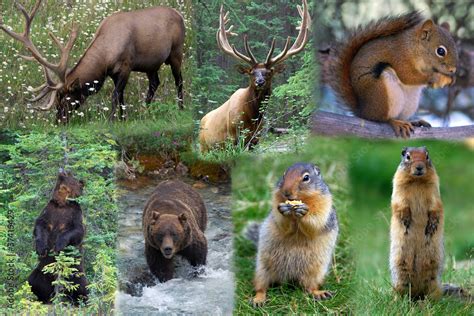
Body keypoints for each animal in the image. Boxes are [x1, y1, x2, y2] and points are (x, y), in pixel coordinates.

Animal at [0, 0, 185, 123]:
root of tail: (179, 15)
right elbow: (121, 97)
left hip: (176, 52)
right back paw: (146, 110)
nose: (58, 121)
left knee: (179, 81)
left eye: (64, 98)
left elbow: (115, 96)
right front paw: (123, 118)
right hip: (151, 64)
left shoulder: (126, 65)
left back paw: (181, 108)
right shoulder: (113, 73)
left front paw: (111, 121)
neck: (106, 57)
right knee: (155, 82)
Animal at [27, 169, 88, 304]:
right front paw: (41, 248)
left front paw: (58, 246)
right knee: (32, 282)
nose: (64, 169)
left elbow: (77, 230)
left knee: (81, 286)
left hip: (75, 273)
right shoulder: (49, 211)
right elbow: (40, 225)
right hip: (40, 272)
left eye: (71, 174)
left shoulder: (74, 213)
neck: (62, 203)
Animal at [197, 0, 312, 152]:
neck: (252, 117)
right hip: (204, 146)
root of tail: (202, 120)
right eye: (251, 72)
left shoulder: (255, 140)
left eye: (269, 72)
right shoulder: (233, 138)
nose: (260, 82)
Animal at [252, 163, 336, 306]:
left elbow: (316, 221)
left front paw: (304, 212)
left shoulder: (324, 204)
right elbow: (281, 222)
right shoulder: (276, 201)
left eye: (306, 178)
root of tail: (289, 278)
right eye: (284, 175)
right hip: (262, 269)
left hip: (315, 272)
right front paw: (284, 210)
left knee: (309, 287)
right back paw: (258, 299)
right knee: (261, 287)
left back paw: (319, 293)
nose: (286, 192)